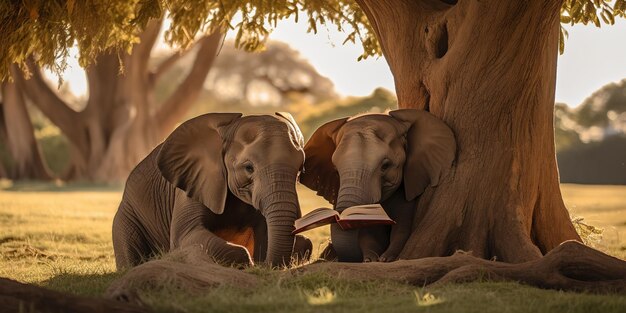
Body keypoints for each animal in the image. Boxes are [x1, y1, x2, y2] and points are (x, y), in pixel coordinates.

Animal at [112, 111, 312, 268]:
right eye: (248, 168)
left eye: (300, 169)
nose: (267, 267)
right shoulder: (194, 182)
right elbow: (184, 236)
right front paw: (250, 263)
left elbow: (266, 233)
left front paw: (260, 262)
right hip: (127, 215)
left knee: (307, 243)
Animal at [298, 108, 454, 262]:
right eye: (336, 171)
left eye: (385, 166)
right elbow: (370, 231)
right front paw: (370, 259)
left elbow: (402, 227)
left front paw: (386, 258)